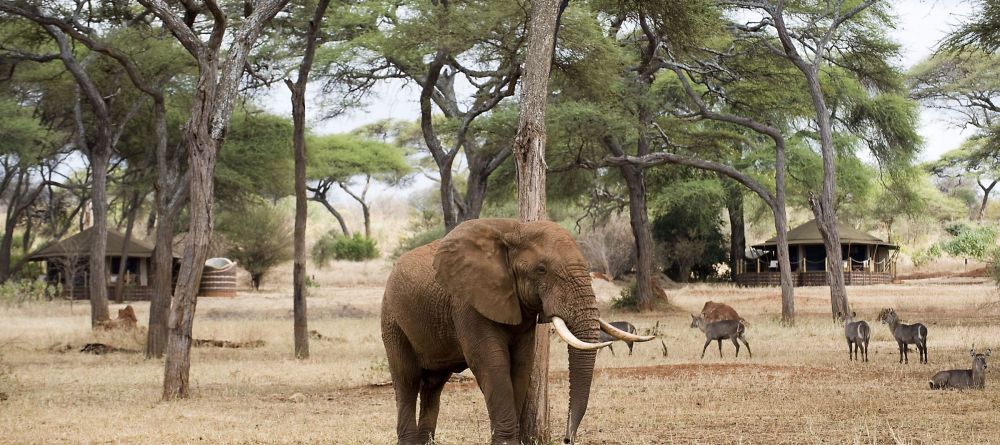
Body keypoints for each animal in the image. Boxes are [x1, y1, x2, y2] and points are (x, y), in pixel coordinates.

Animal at [378, 219, 652, 444]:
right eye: (541, 270)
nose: (567, 439)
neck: (515, 229)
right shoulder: (468, 302)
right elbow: (492, 364)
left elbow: (521, 365)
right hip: (391, 320)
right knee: (407, 380)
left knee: (433, 385)